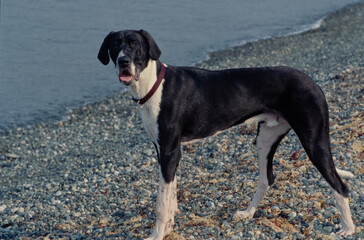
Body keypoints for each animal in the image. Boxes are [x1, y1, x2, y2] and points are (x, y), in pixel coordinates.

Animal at [97, 29, 356, 238]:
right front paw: (169, 224)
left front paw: (157, 234)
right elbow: (170, 194)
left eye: (135, 43)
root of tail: (312, 82)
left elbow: (161, 201)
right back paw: (248, 213)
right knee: (266, 179)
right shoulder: (164, 151)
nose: (123, 61)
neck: (153, 84)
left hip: (314, 142)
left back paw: (348, 228)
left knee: (340, 186)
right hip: (265, 138)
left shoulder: (169, 151)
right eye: (115, 45)